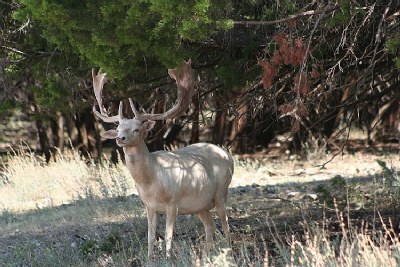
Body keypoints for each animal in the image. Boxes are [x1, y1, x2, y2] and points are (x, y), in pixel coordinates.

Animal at [91, 61, 233, 260]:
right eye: (118, 128)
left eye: (136, 129)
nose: (120, 138)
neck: (151, 182)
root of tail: (228, 155)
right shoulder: (149, 206)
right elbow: (150, 236)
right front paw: (150, 258)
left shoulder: (172, 202)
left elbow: (168, 235)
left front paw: (168, 258)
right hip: (200, 204)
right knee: (210, 225)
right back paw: (206, 256)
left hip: (221, 191)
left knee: (225, 222)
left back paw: (229, 251)